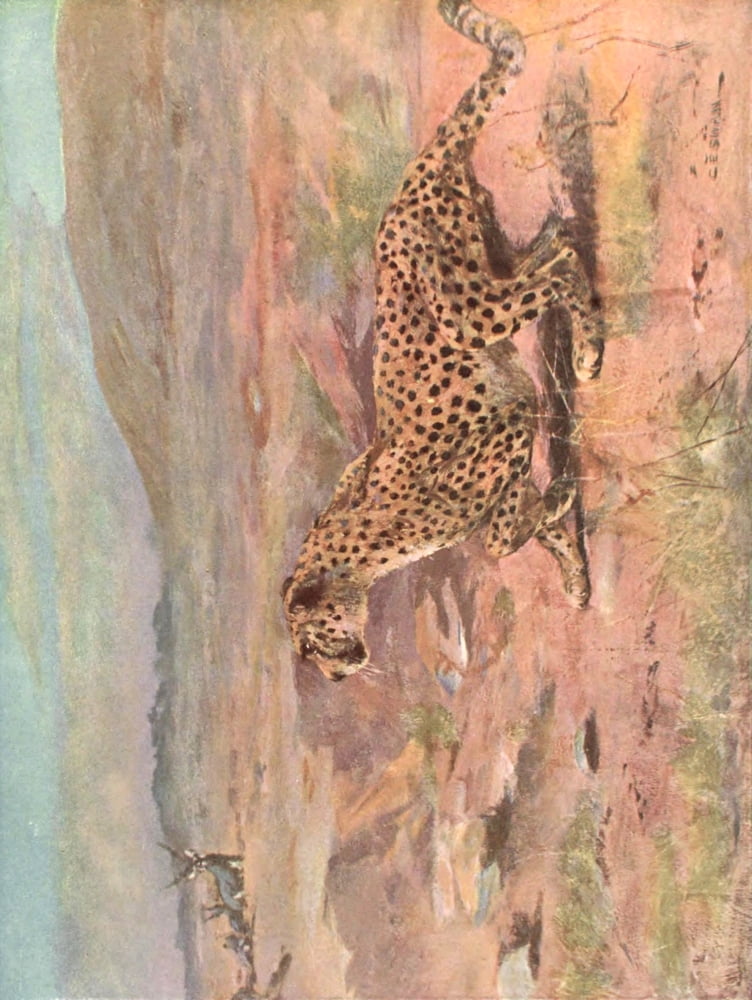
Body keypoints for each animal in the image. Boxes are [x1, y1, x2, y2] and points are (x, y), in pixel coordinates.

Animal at [283, 0, 604, 681]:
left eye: (313, 644)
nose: (337, 676)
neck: (350, 560)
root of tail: (412, 175)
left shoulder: (507, 429)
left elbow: (499, 538)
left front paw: (558, 502)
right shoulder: (504, 457)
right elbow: (524, 529)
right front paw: (573, 572)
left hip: (469, 310)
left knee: (559, 264)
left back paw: (589, 352)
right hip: (491, 262)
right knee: (555, 241)